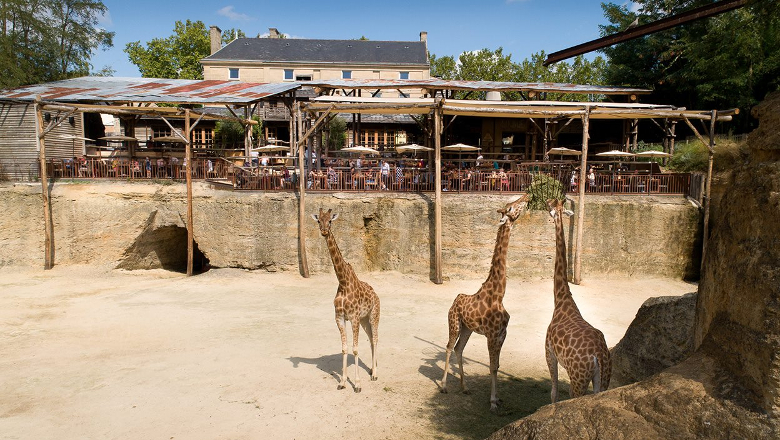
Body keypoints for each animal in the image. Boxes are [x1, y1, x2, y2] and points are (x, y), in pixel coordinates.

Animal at [312, 208, 382, 394]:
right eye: (318, 220)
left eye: (330, 220)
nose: (324, 231)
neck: (343, 283)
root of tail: (376, 294)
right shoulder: (340, 318)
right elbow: (344, 348)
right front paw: (342, 382)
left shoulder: (354, 318)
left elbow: (355, 349)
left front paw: (357, 384)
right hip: (365, 320)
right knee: (371, 339)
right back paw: (372, 369)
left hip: (374, 316)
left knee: (375, 338)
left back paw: (375, 374)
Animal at [442, 196, 528, 412]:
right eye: (511, 208)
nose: (526, 198)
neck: (499, 294)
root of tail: (454, 300)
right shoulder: (491, 335)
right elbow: (491, 367)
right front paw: (492, 403)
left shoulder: (502, 334)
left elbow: (496, 366)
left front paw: (497, 399)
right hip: (454, 324)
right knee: (449, 347)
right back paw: (444, 386)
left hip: (467, 329)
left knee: (459, 349)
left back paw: (465, 388)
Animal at [544, 199, 608, 402]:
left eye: (551, 206)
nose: (546, 203)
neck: (561, 299)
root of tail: (599, 354)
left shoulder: (549, 351)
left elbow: (554, 391)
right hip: (603, 378)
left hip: (578, 378)